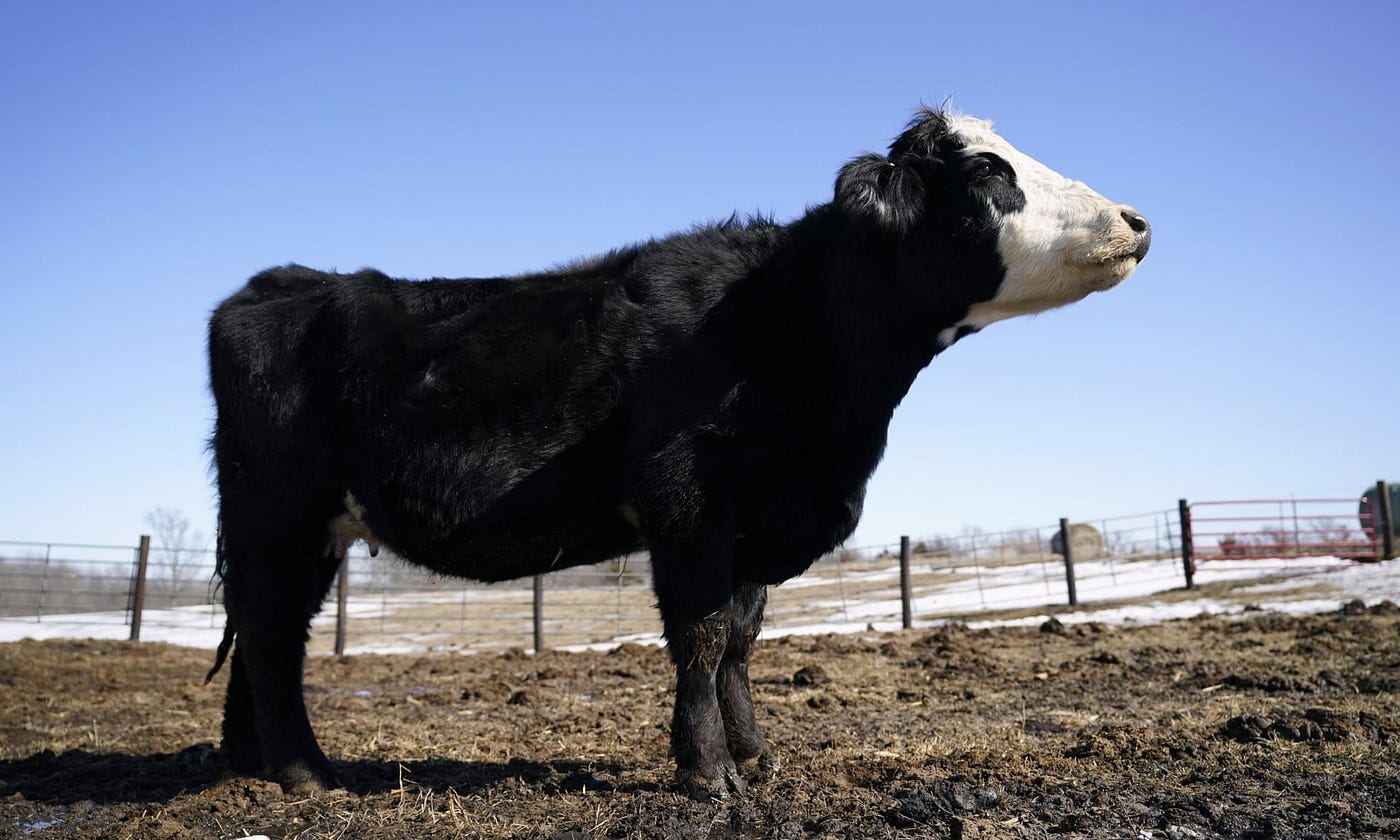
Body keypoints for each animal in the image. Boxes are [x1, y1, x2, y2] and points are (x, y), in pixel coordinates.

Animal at [205, 107, 1151, 800]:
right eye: (989, 172)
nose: (1136, 220)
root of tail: (273, 284)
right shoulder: (686, 498)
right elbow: (699, 633)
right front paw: (709, 772)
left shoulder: (756, 521)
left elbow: (740, 639)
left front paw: (757, 754)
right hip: (275, 512)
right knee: (271, 633)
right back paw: (305, 773)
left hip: (306, 530)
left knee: (267, 632)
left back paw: (252, 763)